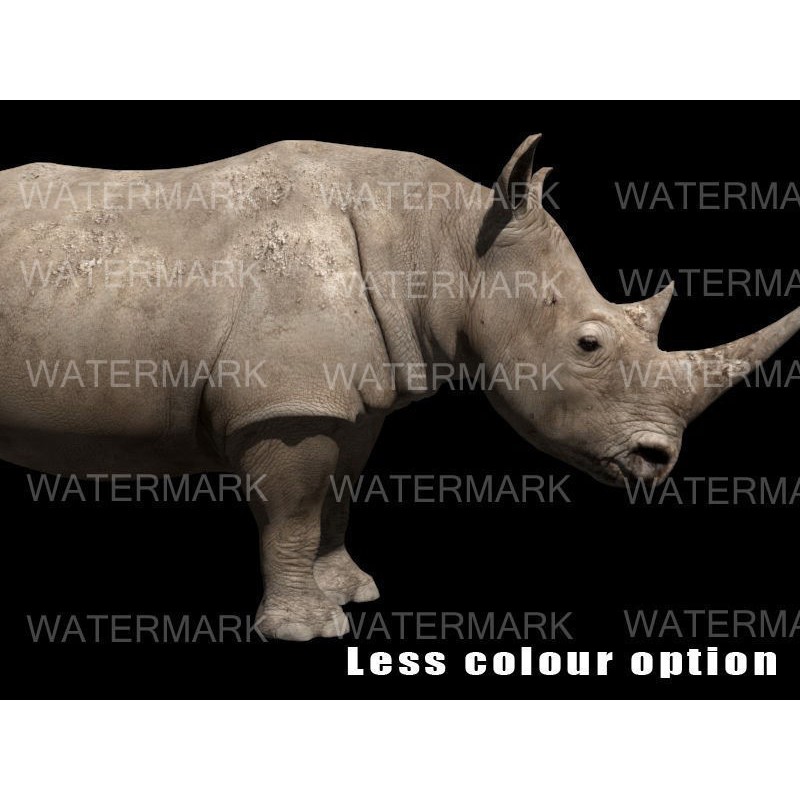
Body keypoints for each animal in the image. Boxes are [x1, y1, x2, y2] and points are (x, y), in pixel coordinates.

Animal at [1, 135, 798, 640]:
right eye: (588, 344)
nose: (658, 461)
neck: (448, 237)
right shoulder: (287, 403)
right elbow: (293, 511)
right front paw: (307, 630)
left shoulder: (354, 396)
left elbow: (336, 496)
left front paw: (352, 592)